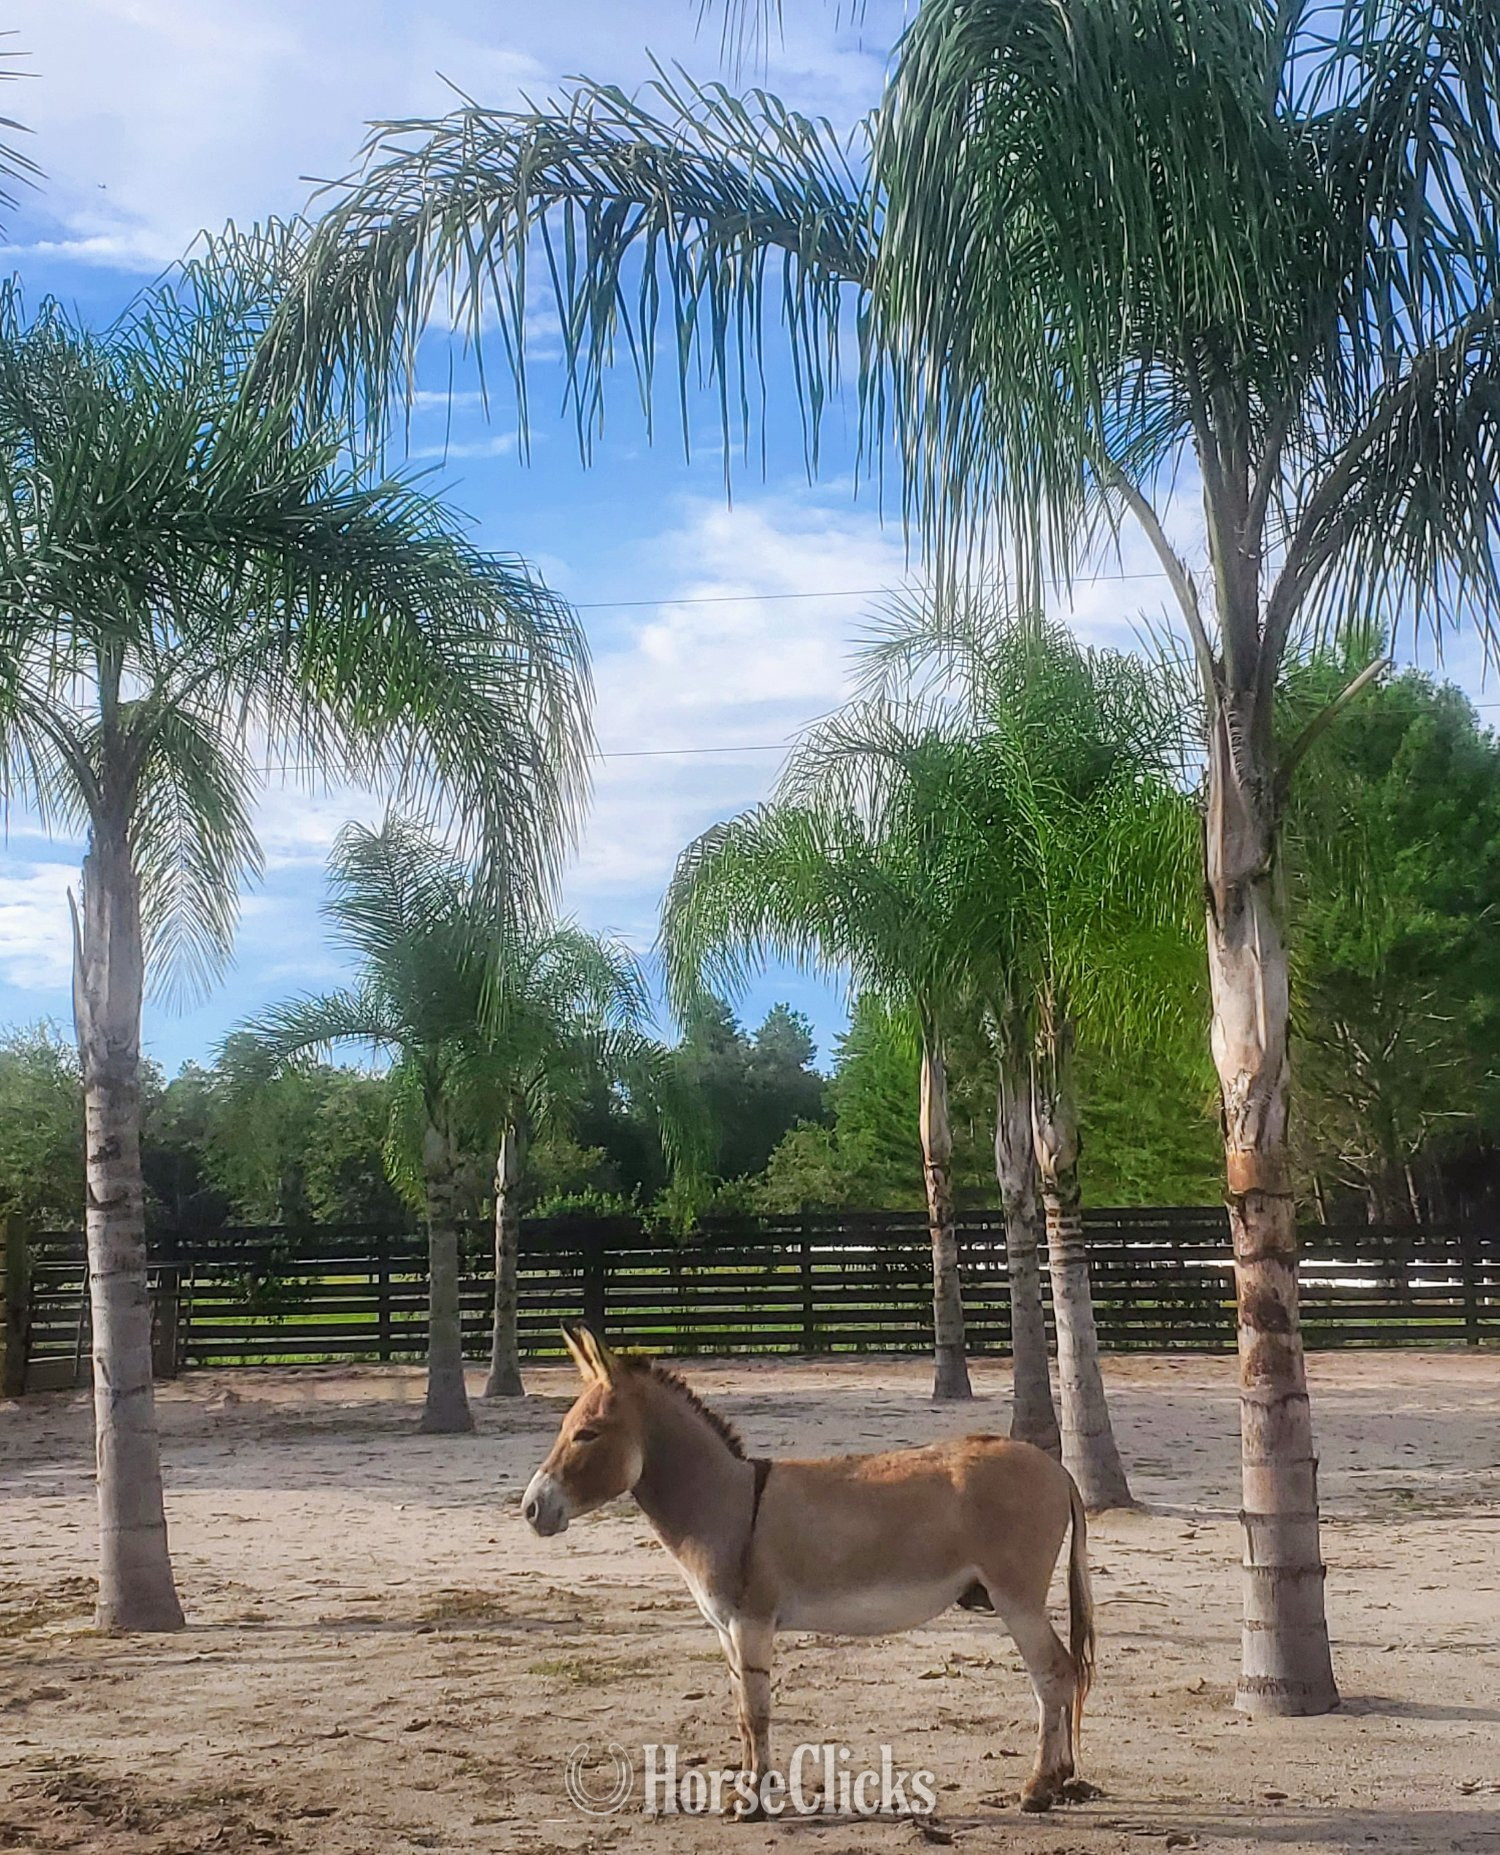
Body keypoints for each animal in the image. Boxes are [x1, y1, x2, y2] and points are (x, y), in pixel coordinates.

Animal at [522, 1325, 1095, 1817]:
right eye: (565, 1430)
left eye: (587, 1434)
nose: (530, 1509)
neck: (724, 1502)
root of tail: (1057, 1468)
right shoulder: (727, 1629)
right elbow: (742, 1712)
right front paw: (747, 1792)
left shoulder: (751, 1622)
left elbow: (756, 1713)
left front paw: (753, 1802)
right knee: (1060, 1672)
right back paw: (1061, 1778)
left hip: (1015, 1595)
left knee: (1054, 1672)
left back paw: (1040, 1787)